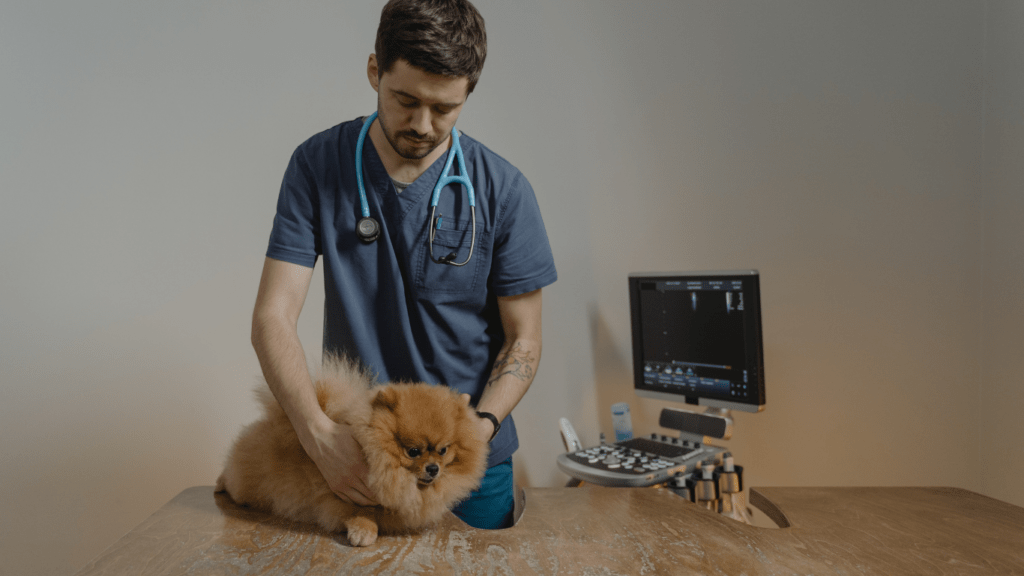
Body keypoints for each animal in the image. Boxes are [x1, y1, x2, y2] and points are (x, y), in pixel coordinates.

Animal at [215, 352, 487, 545]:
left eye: (443, 450)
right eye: (412, 451)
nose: (433, 469)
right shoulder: (344, 494)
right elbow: (361, 512)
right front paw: (363, 531)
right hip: (244, 485)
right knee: (230, 478)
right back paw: (219, 484)